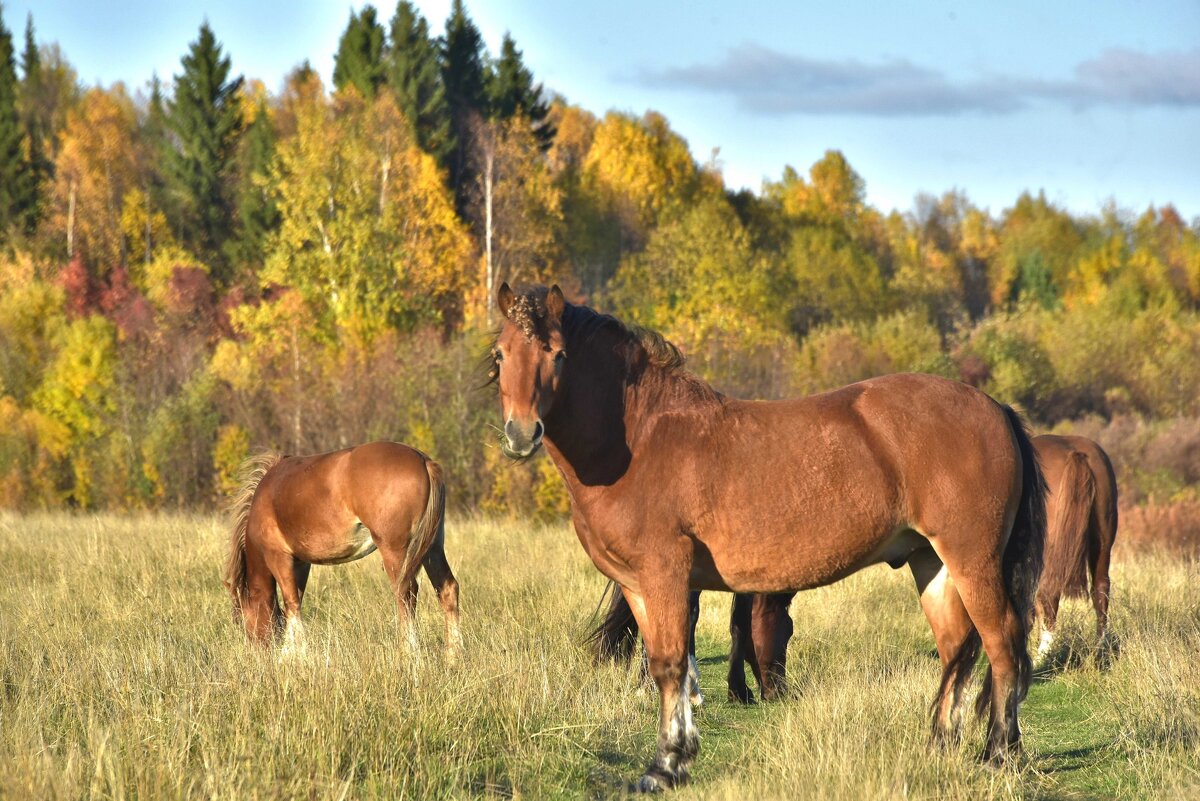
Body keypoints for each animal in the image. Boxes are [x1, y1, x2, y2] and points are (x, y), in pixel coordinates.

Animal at [220, 441, 463, 661]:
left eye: (243, 619)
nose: (255, 654)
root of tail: (424, 462)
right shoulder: (300, 563)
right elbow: (295, 603)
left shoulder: (278, 557)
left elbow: (292, 603)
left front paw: (291, 655)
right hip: (432, 549)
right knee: (447, 589)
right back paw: (453, 657)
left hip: (396, 551)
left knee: (406, 594)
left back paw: (410, 654)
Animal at [487, 281, 1051, 786]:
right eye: (500, 354)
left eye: (558, 354)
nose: (521, 433)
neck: (640, 439)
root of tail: (995, 408)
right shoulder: (637, 586)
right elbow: (664, 665)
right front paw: (674, 758)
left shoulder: (666, 575)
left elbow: (671, 664)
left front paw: (665, 766)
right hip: (930, 562)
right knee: (957, 648)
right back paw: (938, 747)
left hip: (971, 560)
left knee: (1002, 643)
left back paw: (998, 754)